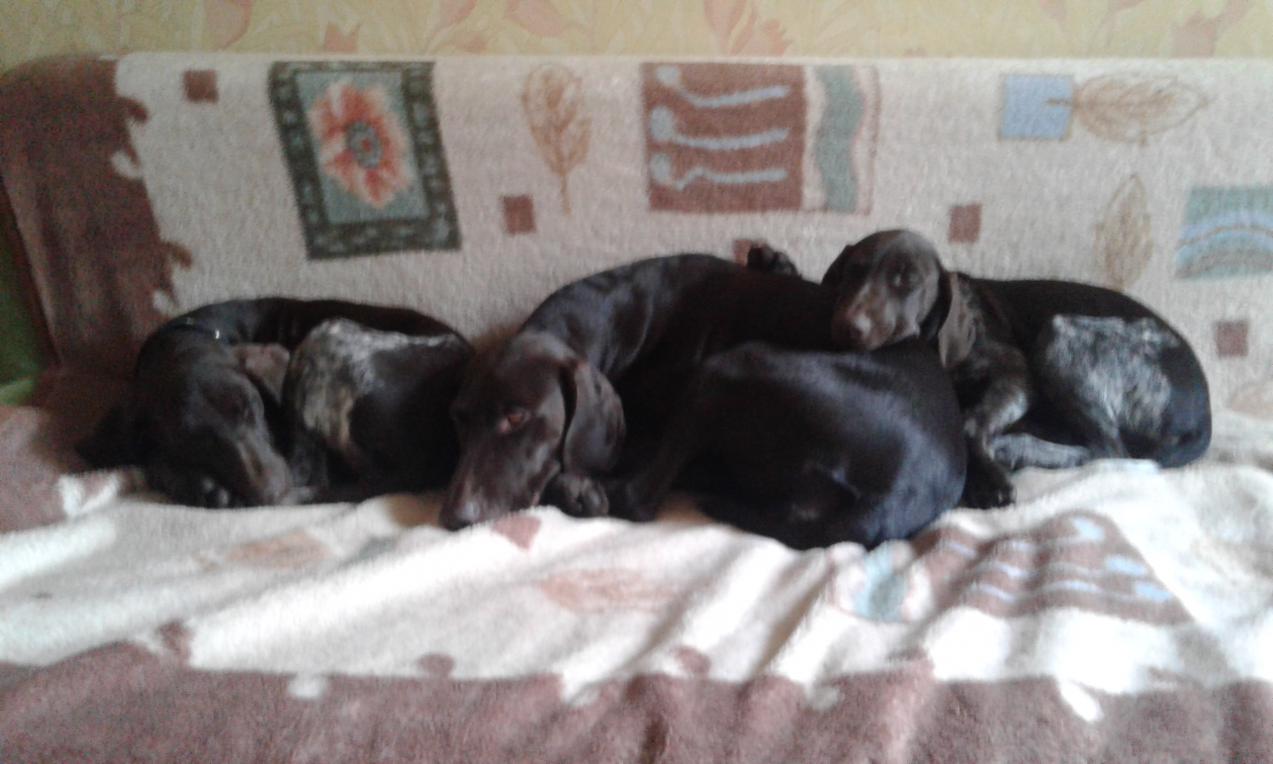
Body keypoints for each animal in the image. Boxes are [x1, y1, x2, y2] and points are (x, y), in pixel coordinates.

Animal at [440, 252, 839, 530]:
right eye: (458, 419)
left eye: (515, 416)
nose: (453, 516)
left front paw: (577, 489)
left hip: (724, 368)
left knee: (638, 499)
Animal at [820, 229, 1211, 507]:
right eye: (853, 272)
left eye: (909, 282)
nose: (848, 326)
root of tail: (1202, 417)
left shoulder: (1016, 375)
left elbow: (971, 422)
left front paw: (989, 480)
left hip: (1061, 334)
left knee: (1110, 451)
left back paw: (1015, 448)